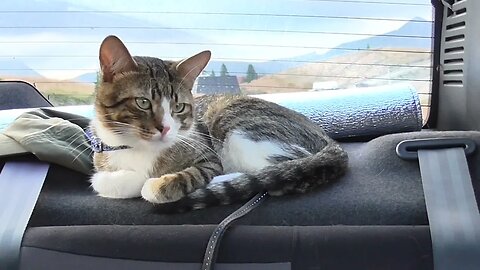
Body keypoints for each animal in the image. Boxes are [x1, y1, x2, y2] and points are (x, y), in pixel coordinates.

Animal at [88, 34, 346, 211]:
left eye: (178, 107)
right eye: (143, 102)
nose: (166, 128)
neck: (137, 147)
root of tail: (327, 139)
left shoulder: (207, 156)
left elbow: (192, 173)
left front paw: (158, 183)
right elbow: (103, 180)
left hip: (236, 124)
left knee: (281, 170)